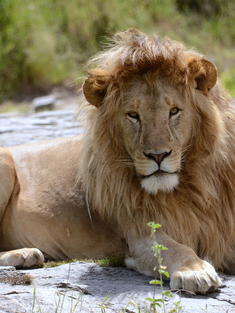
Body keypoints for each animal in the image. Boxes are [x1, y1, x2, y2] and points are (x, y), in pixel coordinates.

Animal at [0, 28, 235, 292]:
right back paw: (25, 253)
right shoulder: (138, 233)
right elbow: (173, 248)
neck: (192, 185)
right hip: (4, 163)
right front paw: (195, 271)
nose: (157, 155)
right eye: (133, 115)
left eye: (174, 111)